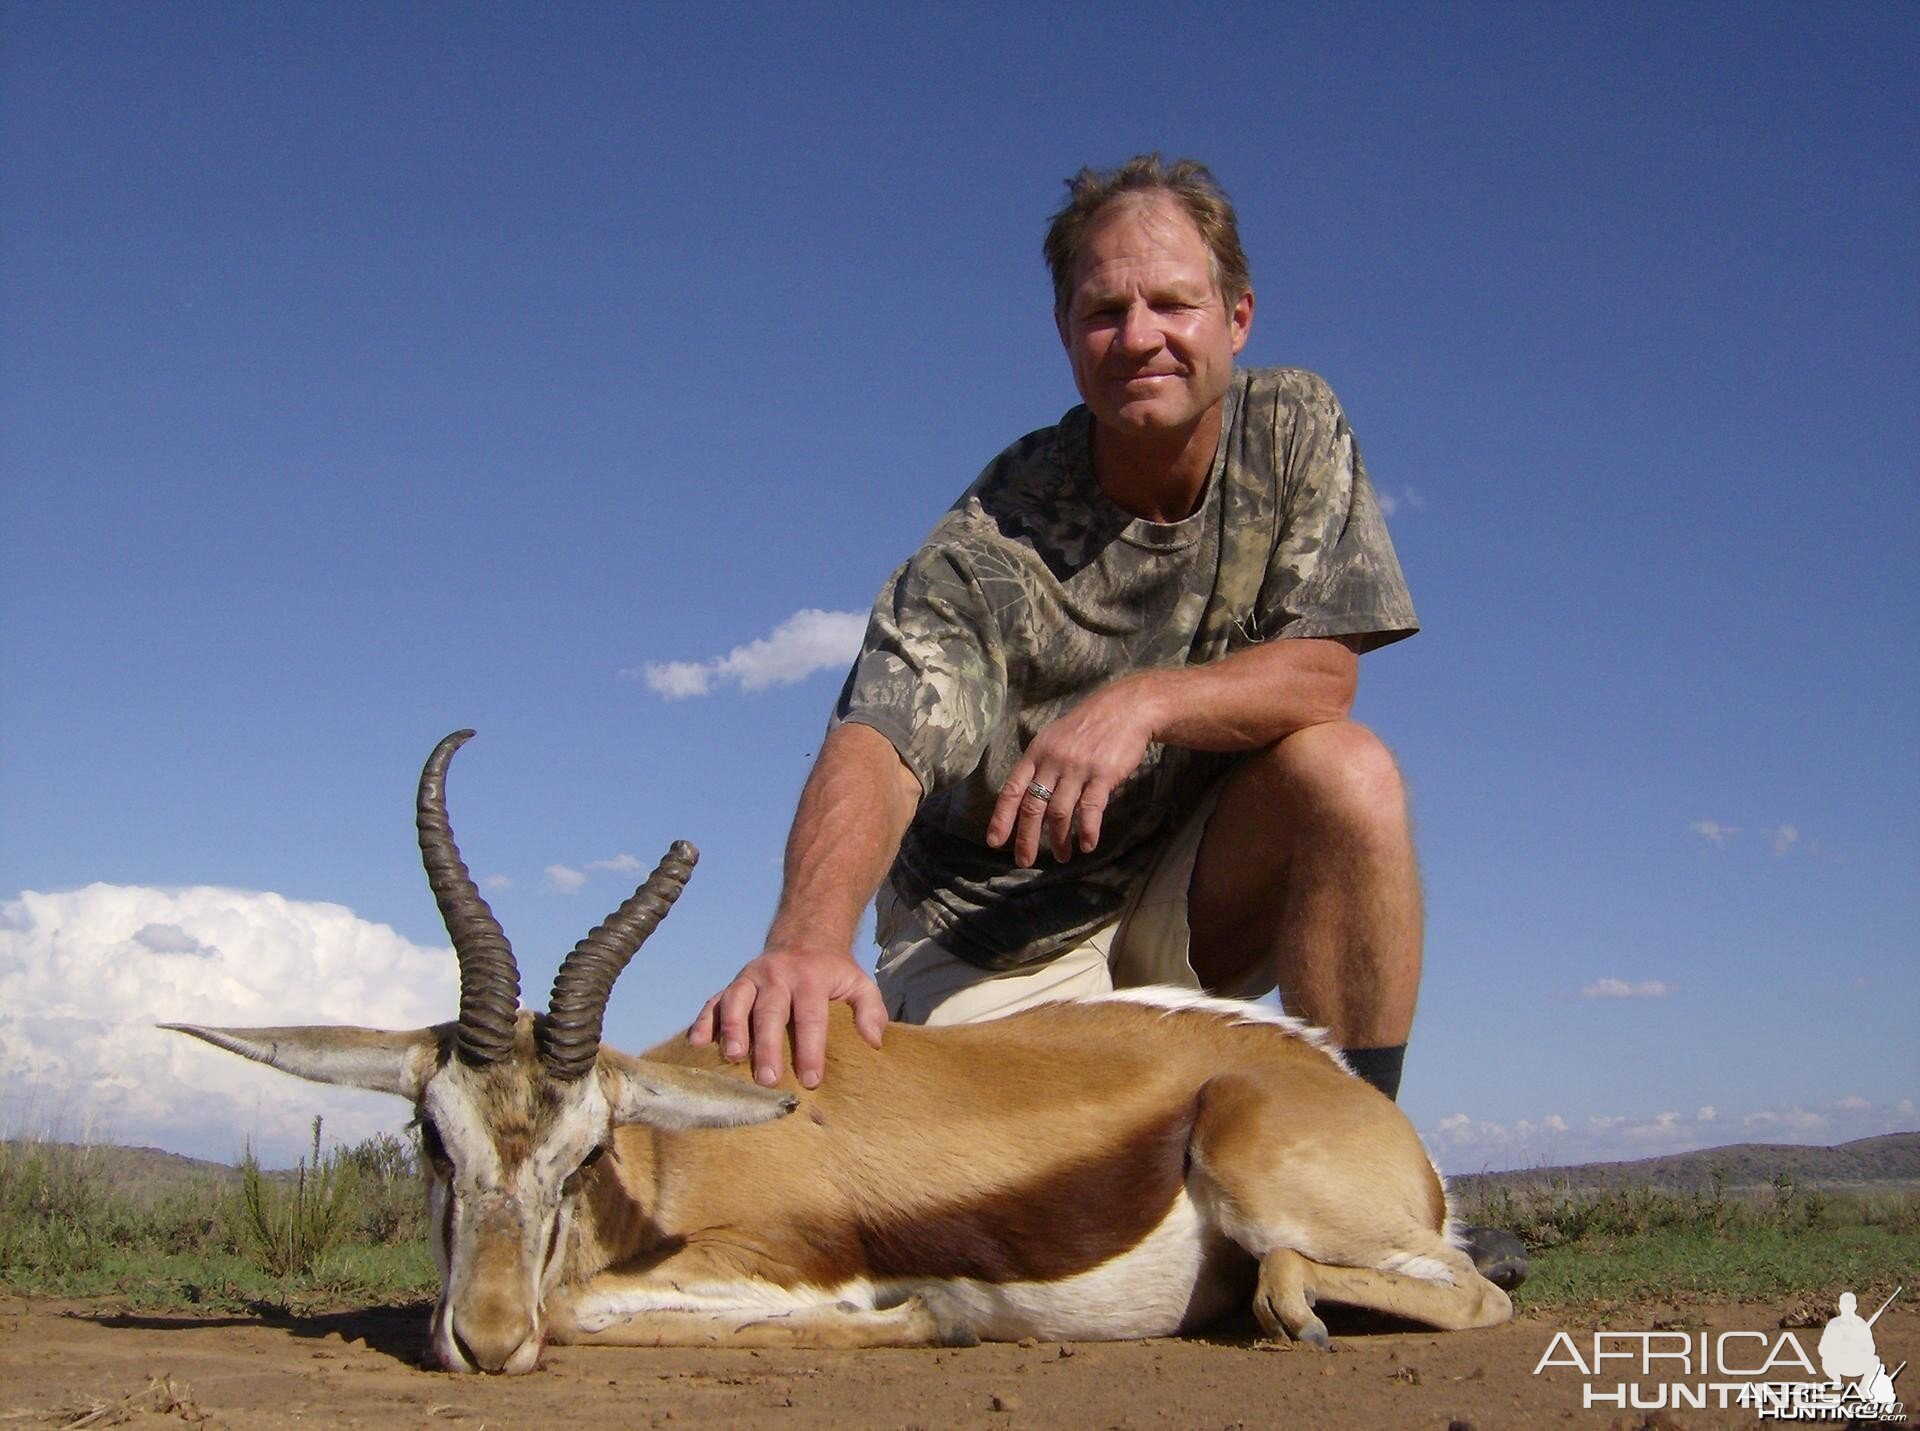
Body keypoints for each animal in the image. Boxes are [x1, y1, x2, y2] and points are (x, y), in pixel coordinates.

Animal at [168, 729, 1512, 1367]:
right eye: (430, 1142)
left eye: (586, 1150)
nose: (490, 1340)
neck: (670, 1171)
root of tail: (1349, 1096)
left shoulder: (776, 1266)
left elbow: (591, 1309)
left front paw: (925, 1319)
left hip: (1261, 1179)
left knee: (1473, 1293)